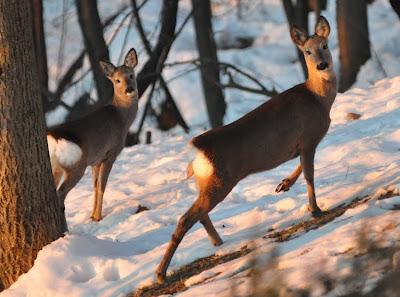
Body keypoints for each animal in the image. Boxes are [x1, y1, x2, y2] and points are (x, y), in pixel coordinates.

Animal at [46, 47, 138, 221]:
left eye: (131, 75)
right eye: (117, 80)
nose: (129, 89)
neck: (121, 118)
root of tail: (54, 138)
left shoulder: (96, 159)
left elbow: (94, 187)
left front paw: (92, 215)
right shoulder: (111, 153)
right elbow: (102, 186)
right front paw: (98, 217)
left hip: (57, 165)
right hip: (76, 164)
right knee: (61, 193)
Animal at [155, 16, 336, 282]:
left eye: (325, 45)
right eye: (307, 51)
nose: (323, 65)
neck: (319, 98)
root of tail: (196, 151)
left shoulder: (302, 145)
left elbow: (300, 169)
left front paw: (283, 185)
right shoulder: (309, 139)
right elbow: (309, 175)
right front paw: (315, 209)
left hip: (205, 181)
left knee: (199, 215)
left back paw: (218, 243)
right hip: (221, 180)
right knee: (186, 218)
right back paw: (161, 273)